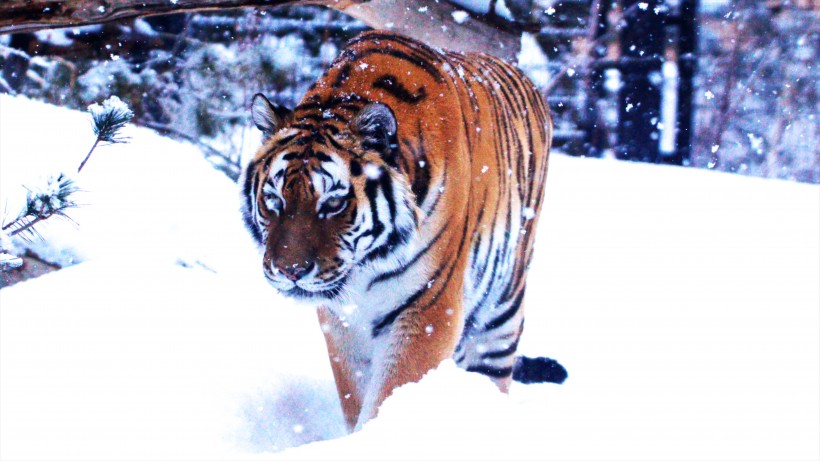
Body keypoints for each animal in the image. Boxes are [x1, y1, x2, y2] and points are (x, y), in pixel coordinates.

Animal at [240, 30, 564, 430]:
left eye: (333, 203)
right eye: (273, 200)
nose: (290, 271)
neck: (367, 265)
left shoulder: (429, 308)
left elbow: (389, 392)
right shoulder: (342, 320)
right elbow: (356, 396)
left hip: (500, 314)